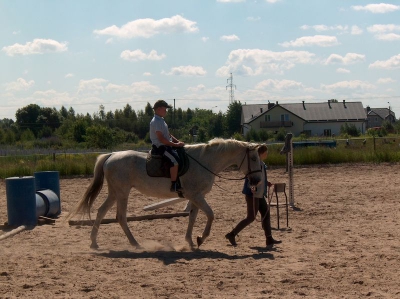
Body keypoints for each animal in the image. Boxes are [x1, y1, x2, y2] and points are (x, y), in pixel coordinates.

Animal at [68, 139, 262, 250]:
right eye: (253, 158)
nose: (257, 180)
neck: (205, 162)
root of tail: (111, 155)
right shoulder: (196, 196)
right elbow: (210, 215)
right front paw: (201, 238)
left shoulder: (195, 196)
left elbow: (192, 217)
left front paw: (190, 241)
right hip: (122, 192)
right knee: (120, 217)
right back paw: (135, 243)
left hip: (115, 192)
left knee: (101, 212)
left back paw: (94, 243)